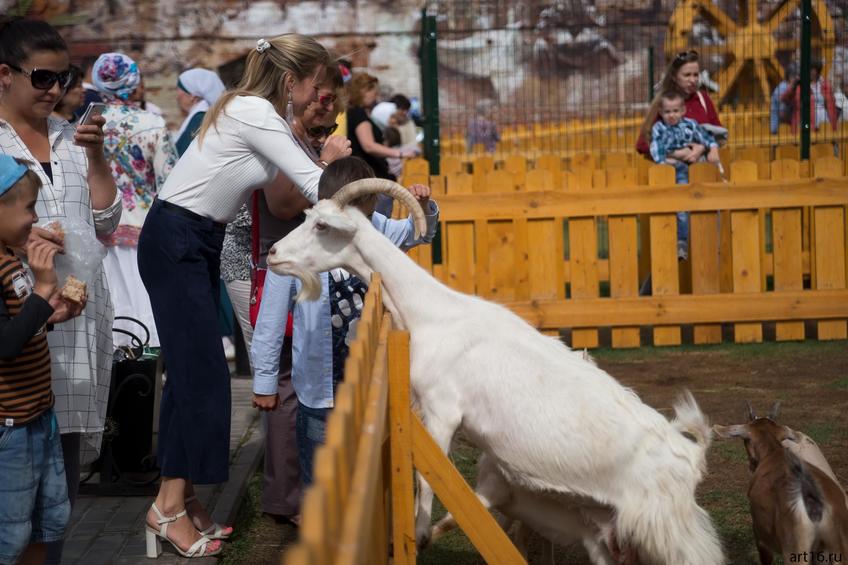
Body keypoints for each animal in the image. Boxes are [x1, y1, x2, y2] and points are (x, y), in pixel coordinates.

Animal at [268, 181, 724, 564]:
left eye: (322, 225)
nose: (273, 253)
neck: (435, 315)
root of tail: (690, 456)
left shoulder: (441, 410)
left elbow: (426, 480)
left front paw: (419, 532)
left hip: (669, 530)